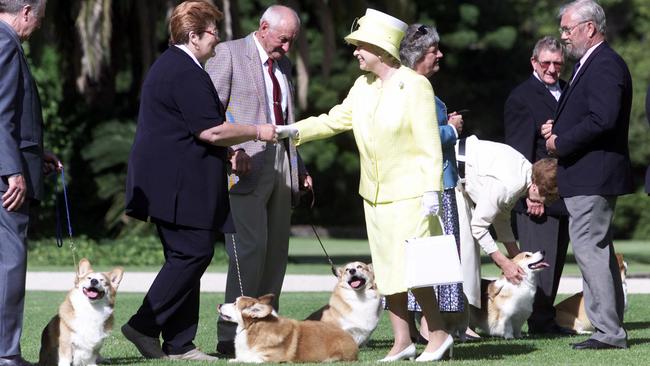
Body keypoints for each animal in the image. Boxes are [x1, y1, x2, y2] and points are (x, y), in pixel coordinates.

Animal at [220, 294, 356, 362]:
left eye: (235, 303)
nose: (219, 304)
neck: (252, 327)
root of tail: (352, 339)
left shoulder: (270, 358)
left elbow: (249, 358)